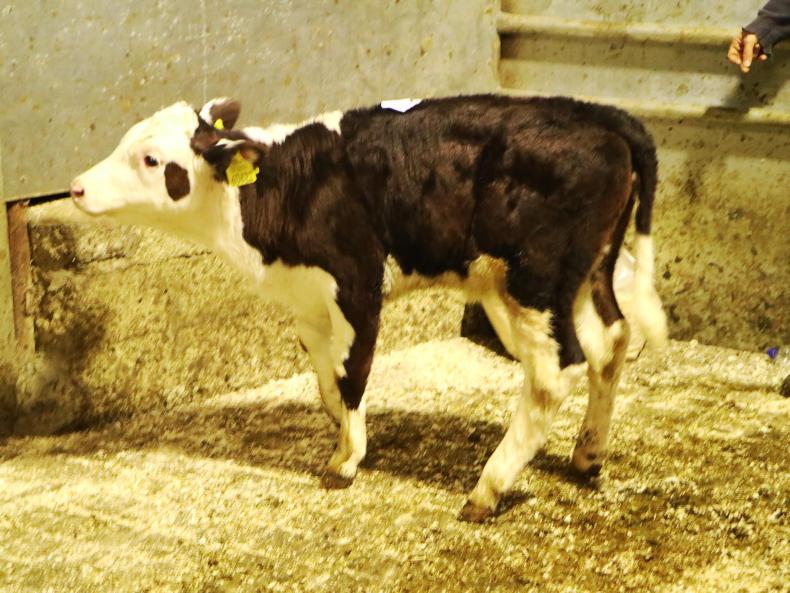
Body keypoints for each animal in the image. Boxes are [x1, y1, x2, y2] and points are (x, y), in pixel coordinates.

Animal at [70, 94, 667, 521]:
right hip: (584, 273)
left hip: (532, 280)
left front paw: (345, 461)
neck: (281, 189)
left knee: (555, 369)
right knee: (611, 339)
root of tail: (598, 115)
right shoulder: (309, 299)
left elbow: (353, 372)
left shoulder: (358, 281)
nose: (75, 187)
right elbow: (326, 373)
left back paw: (488, 489)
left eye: (151, 159)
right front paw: (348, 433)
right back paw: (587, 456)